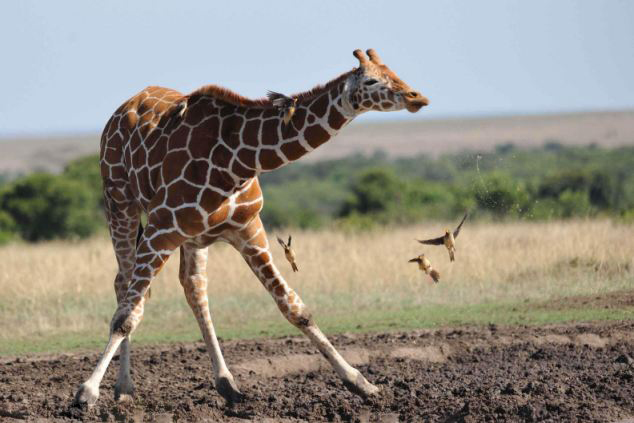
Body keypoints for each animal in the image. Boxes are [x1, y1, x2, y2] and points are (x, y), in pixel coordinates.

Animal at [75, 48, 430, 408]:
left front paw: (362, 383)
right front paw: (87, 391)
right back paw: (124, 388)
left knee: (194, 288)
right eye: (371, 81)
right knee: (124, 285)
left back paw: (226, 382)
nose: (417, 97)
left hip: (193, 237)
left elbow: (295, 308)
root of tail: (122, 109)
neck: (236, 161)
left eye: (394, 72)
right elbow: (126, 316)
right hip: (121, 204)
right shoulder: (162, 228)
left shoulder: (248, 229)